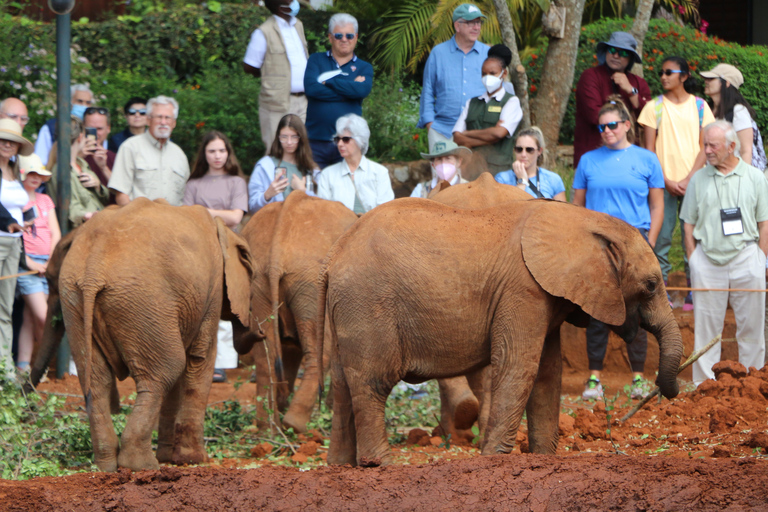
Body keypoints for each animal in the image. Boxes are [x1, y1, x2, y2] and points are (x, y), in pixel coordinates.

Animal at [52, 199, 255, 472]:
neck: (222, 228)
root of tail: (94, 268)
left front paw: (171, 457)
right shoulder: (210, 292)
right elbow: (199, 360)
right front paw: (195, 460)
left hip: (75, 300)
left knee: (96, 380)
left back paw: (108, 465)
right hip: (143, 301)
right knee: (165, 371)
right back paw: (142, 465)